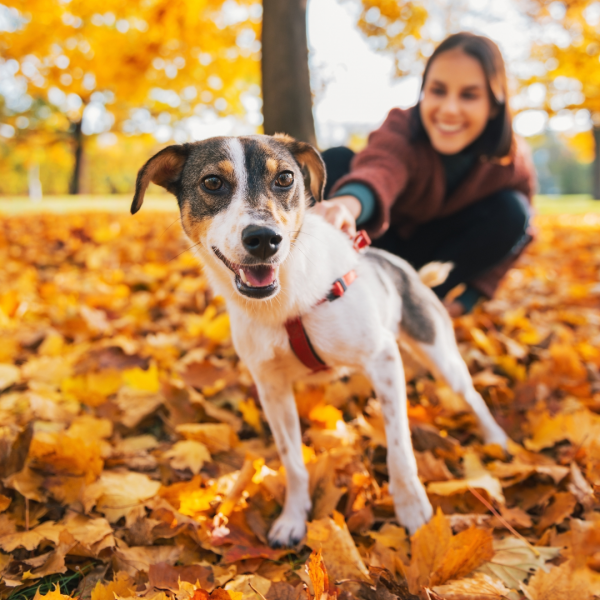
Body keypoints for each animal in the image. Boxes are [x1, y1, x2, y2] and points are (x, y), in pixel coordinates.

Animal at [131, 134, 506, 548]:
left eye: (285, 178)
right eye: (212, 182)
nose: (264, 239)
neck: (285, 303)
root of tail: (402, 267)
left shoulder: (383, 359)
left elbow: (399, 449)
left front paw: (412, 508)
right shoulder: (272, 388)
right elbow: (293, 460)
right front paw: (293, 518)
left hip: (439, 354)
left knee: (471, 396)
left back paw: (496, 440)